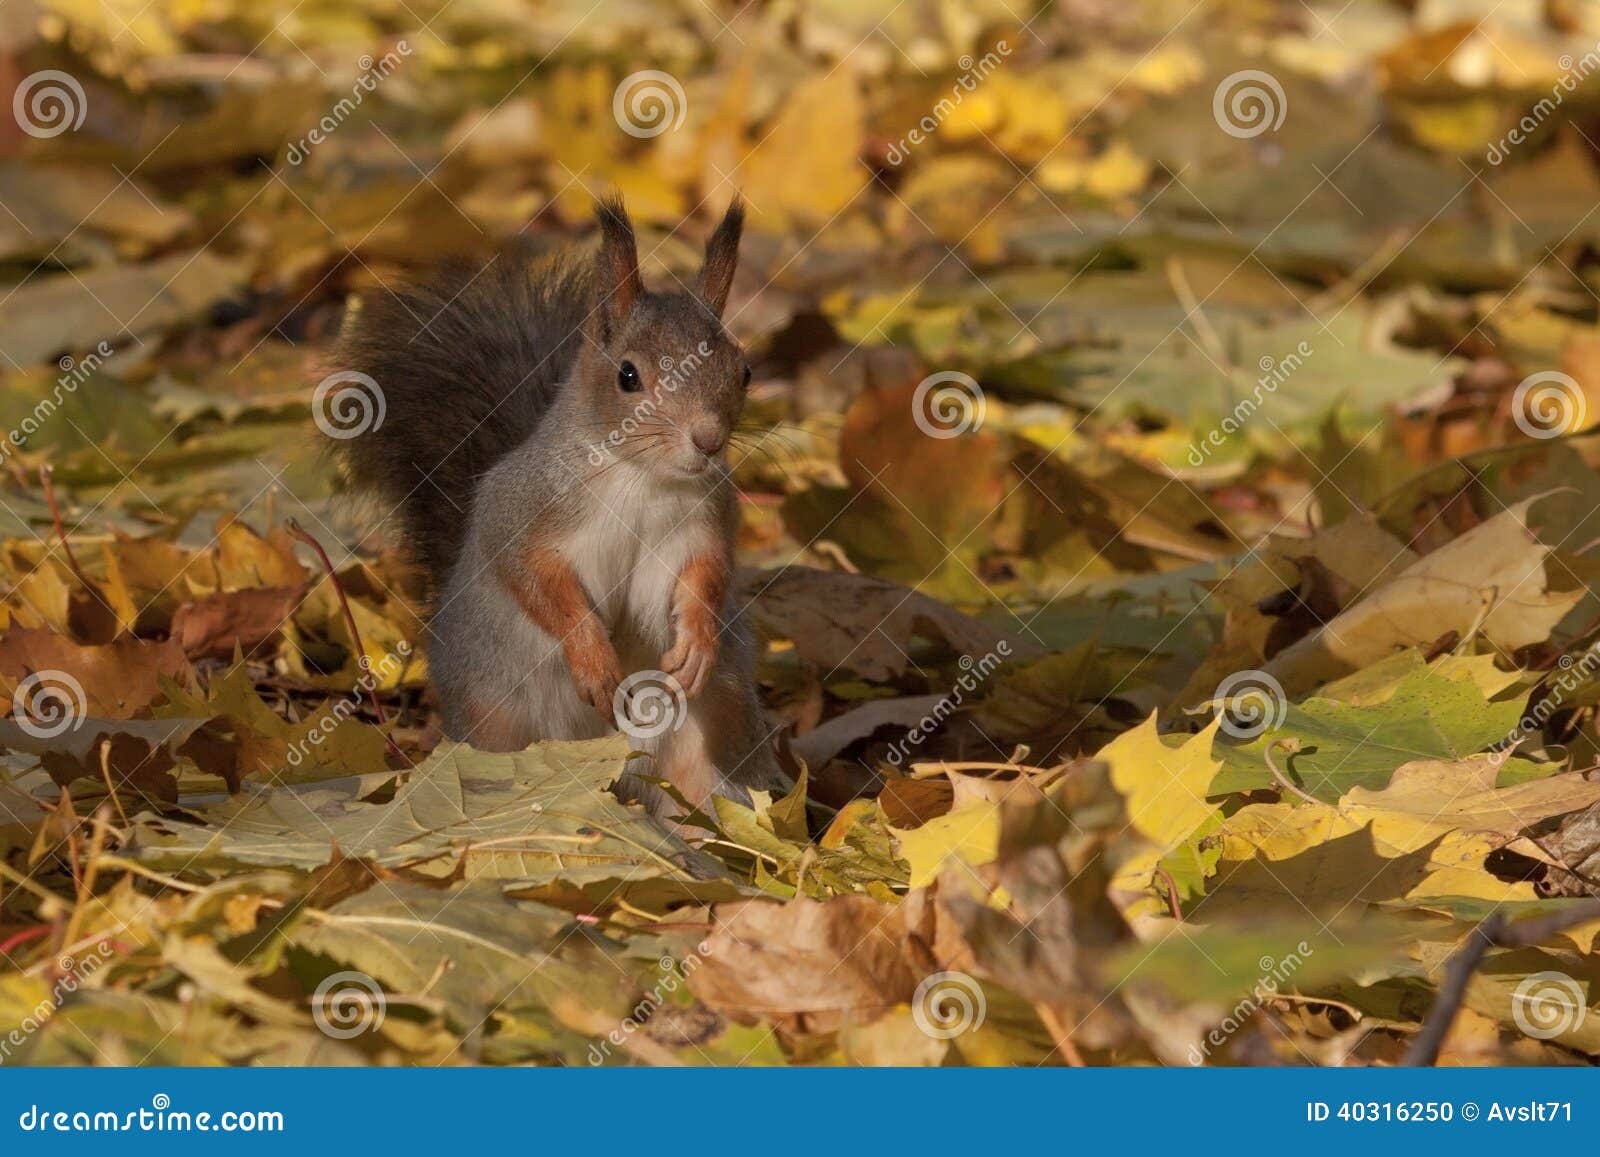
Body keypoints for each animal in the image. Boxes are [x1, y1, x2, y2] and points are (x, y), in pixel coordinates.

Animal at [330, 196, 786, 813]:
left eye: (744, 371)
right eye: (627, 375)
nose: (709, 440)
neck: (644, 480)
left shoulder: (709, 521)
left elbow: (708, 575)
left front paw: (696, 643)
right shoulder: (523, 510)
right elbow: (538, 581)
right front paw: (592, 659)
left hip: (707, 735)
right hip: (496, 726)